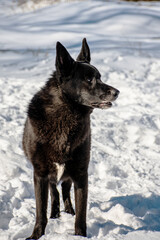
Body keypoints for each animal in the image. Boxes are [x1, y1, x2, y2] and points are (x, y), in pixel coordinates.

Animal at [23, 38, 119, 239]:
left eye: (100, 77)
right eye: (89, 79)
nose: (117, 92)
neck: (65, 117)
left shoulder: (81, 174)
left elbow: (81, 215)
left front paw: (79, 234)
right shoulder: (40, 174)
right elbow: (40, 211)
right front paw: (36, 235)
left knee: (65, 190)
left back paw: (68, 210)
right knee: (55, 192)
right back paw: (55, 212)